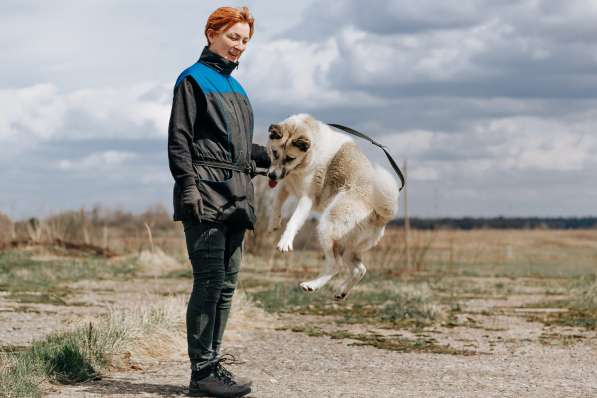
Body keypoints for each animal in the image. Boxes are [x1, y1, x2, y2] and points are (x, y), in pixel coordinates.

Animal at [266, 114, 400, 298]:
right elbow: (277, 202)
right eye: (274, 153)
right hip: (350, 249)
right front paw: (274, 222)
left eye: (290, 158)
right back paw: (341, 291)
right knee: (360, 269)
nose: (271, 175)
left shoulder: (306, 198)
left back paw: (311, 285)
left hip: (326, 228)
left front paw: (285, 241)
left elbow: (293, 221)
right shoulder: (286, 185)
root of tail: (378, 215)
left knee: (336, 265)